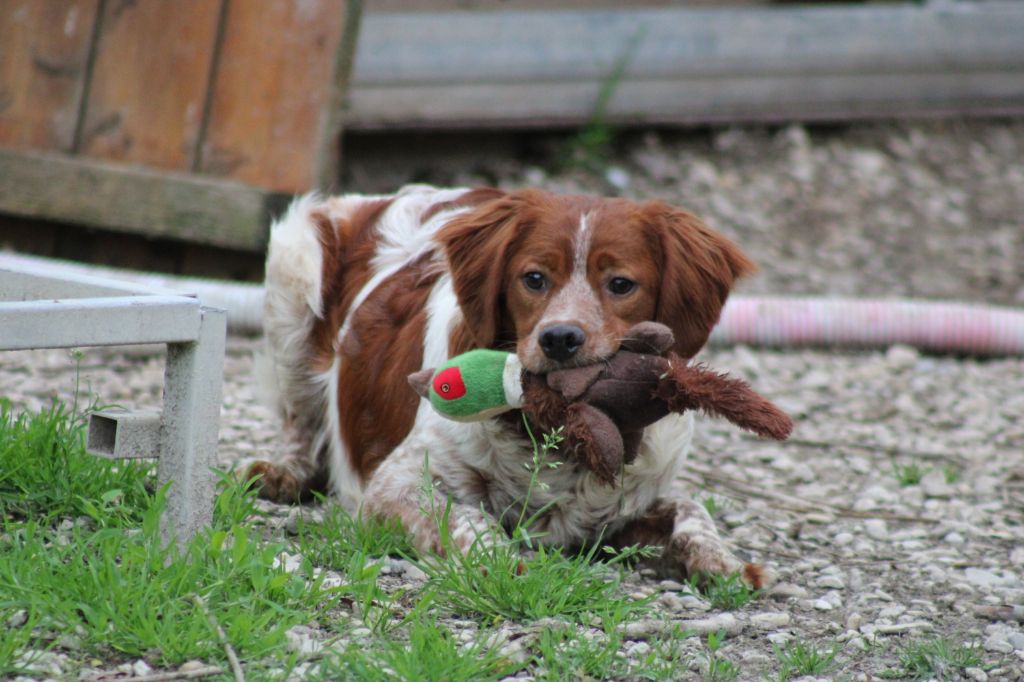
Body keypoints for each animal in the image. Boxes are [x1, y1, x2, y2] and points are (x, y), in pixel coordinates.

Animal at [243, 182, 765, 585]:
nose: (559, 338)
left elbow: (691, 509)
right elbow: (465, 515)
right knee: (299, 419)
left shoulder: (622, 511)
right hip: (293, 270)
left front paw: (724, 561)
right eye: (533, 278)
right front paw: (499, 558)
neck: (552, 437)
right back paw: (283, 474)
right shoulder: (393, 486)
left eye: (620, 284)